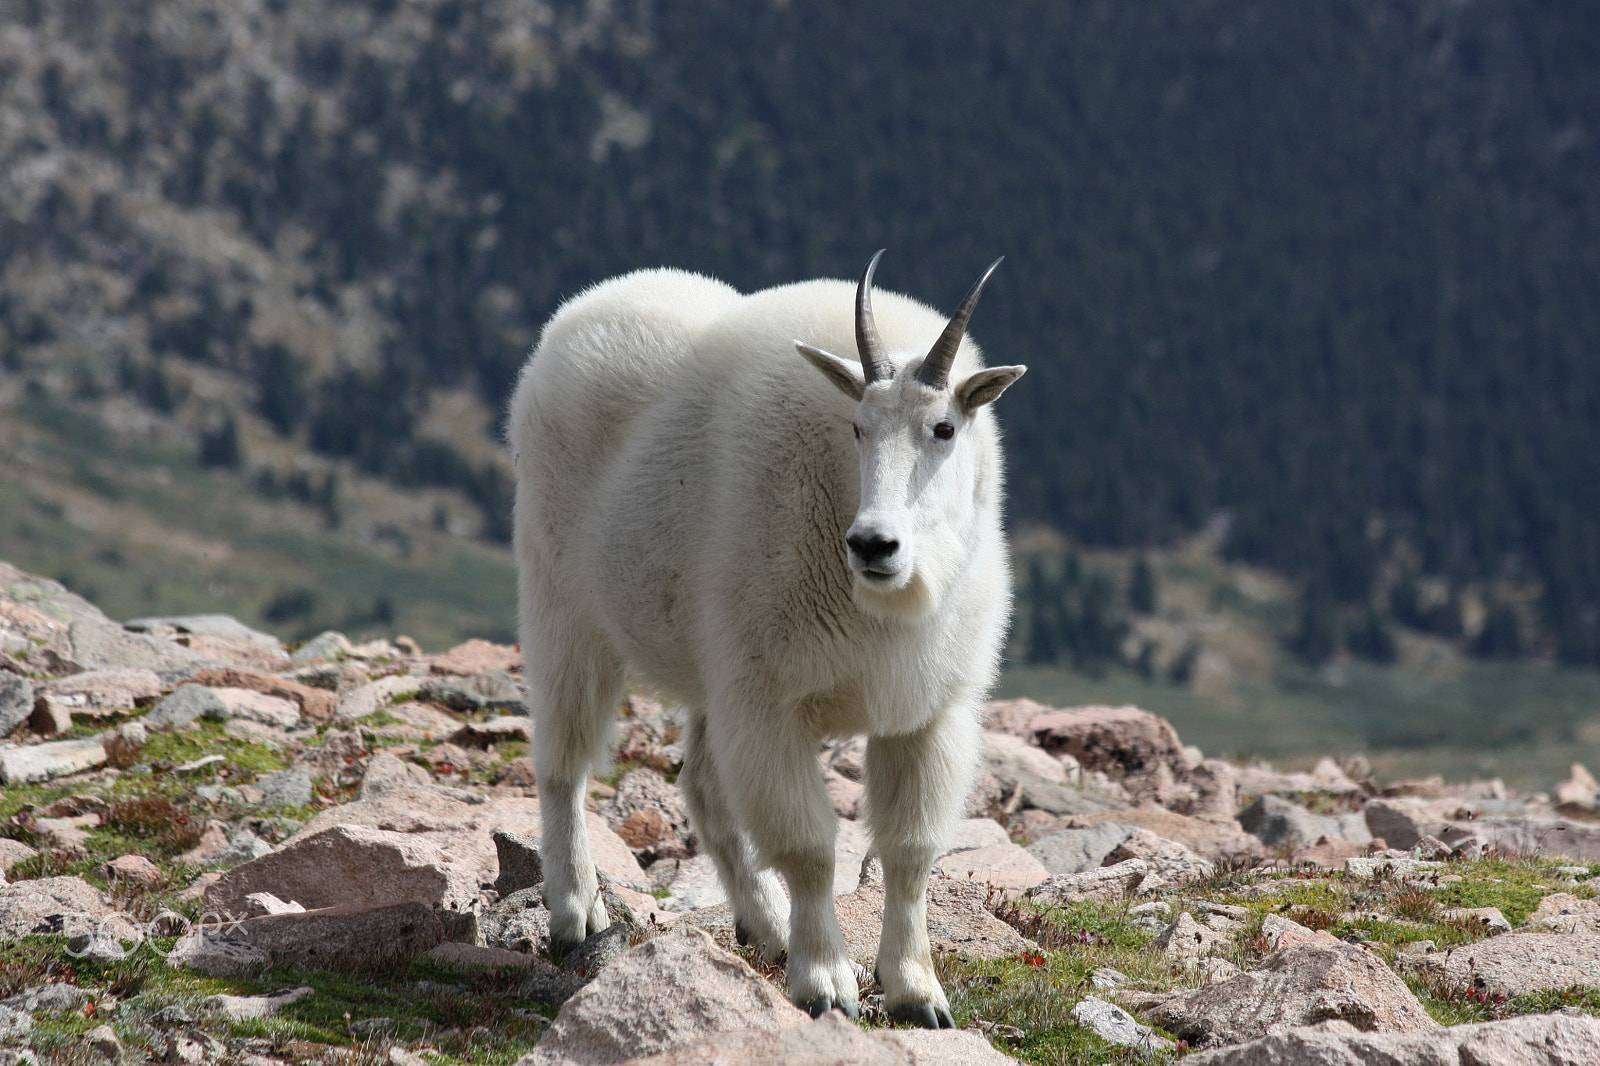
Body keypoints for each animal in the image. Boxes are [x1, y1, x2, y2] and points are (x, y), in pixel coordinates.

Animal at [509, 251, 1025, 1026]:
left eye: (944, 428)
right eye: (856, 427)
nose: (873, 545)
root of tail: (576, 315)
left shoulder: (928, 713)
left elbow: (910, 851)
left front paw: (916, 991)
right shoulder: (770, 701)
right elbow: (809, 847)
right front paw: (826, 983)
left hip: (708, 664)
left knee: (701, 785)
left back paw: (766, 924)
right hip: (562, 602)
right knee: (563, 763)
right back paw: (576, 915)